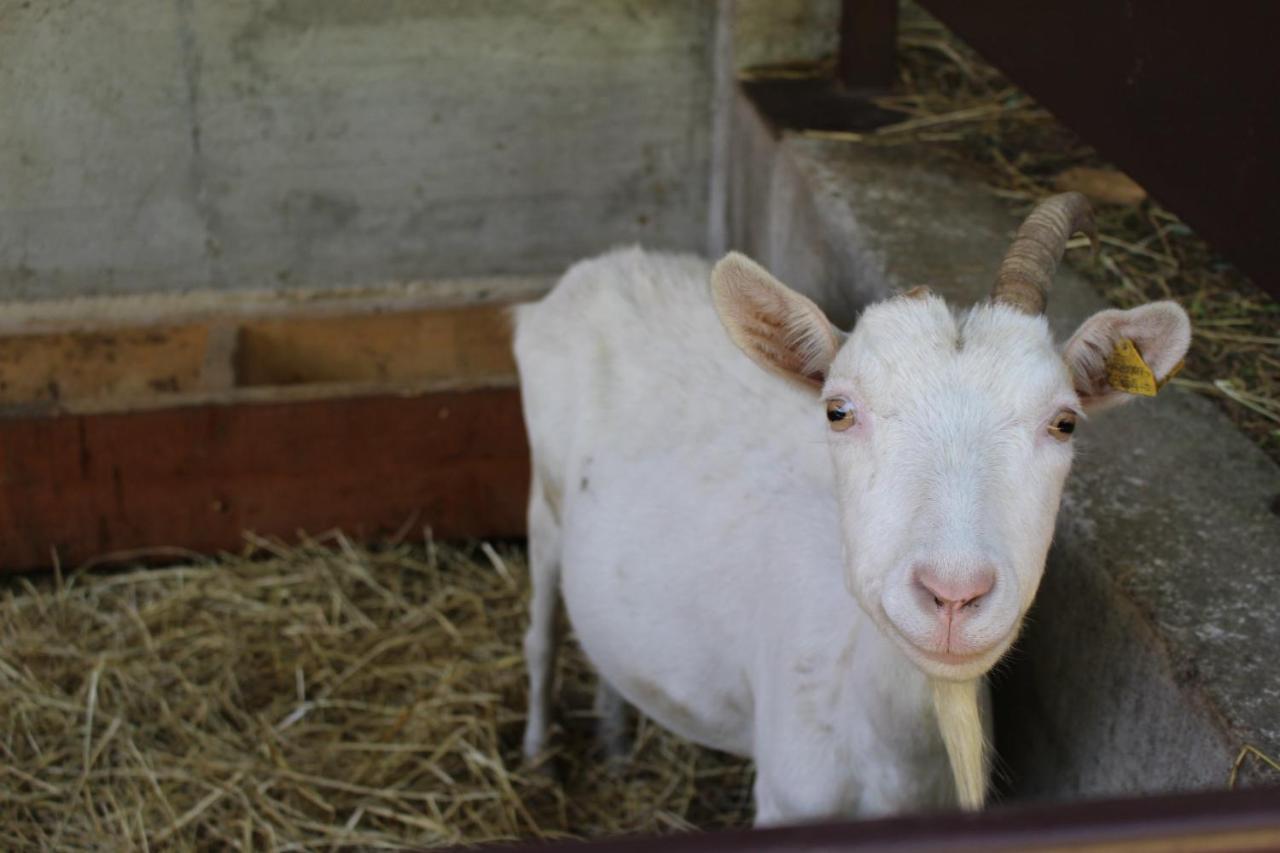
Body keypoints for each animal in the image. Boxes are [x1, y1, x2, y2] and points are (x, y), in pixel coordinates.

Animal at [509, 195, 1187, 819]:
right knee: (540, 633)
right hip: (544, 500)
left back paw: (616, 741)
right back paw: (537, 753)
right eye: (838, 410)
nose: (953, 595)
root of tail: (598, 267)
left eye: (1065, 422)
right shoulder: (787, 799)